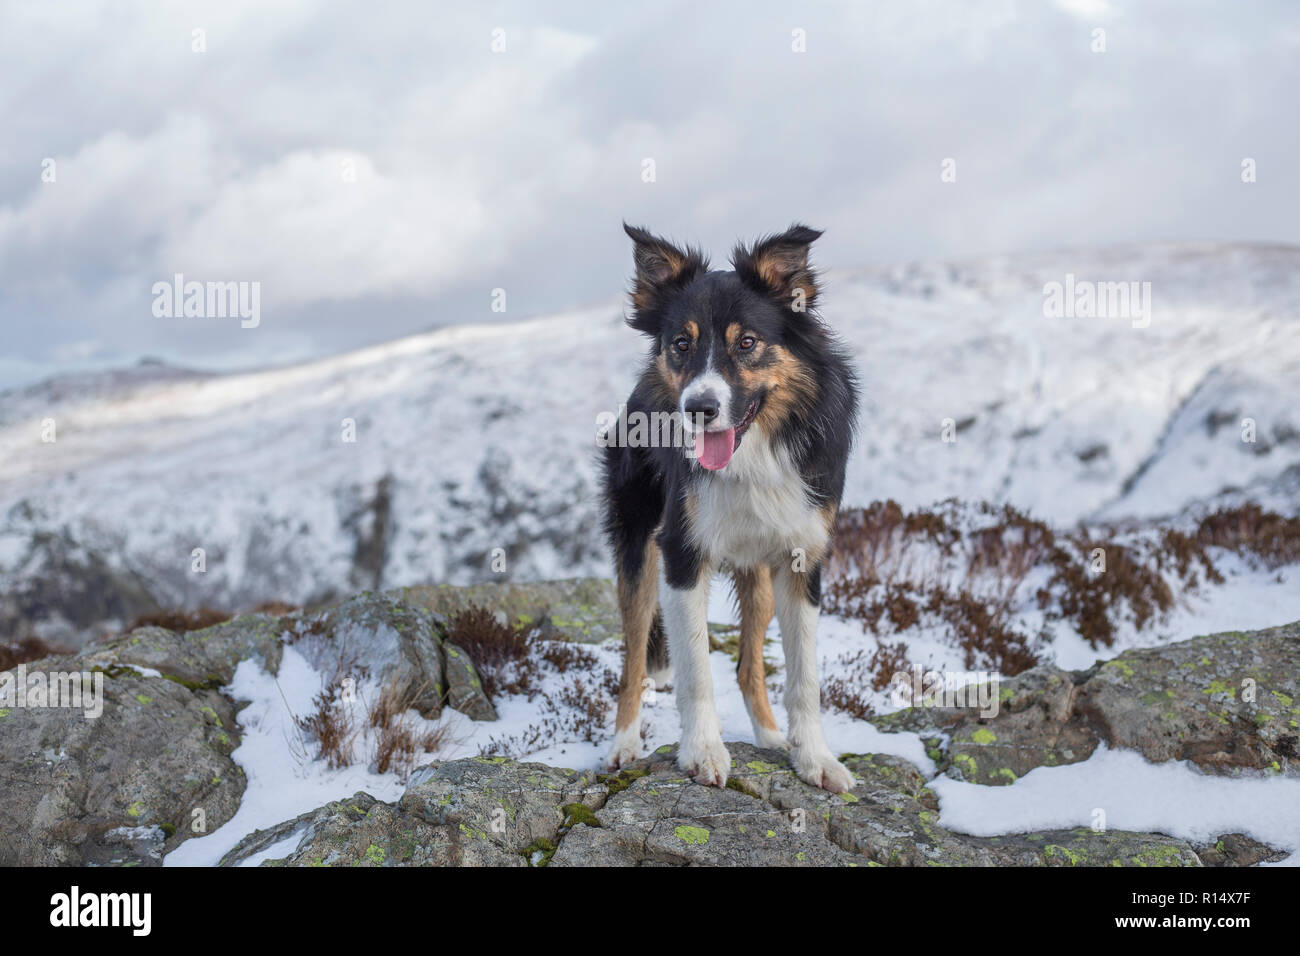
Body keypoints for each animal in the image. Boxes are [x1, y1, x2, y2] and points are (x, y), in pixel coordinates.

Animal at [600, 223, 863, 790]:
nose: (699, 409)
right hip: (637, 547)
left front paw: (813, 758)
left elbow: (803, 677)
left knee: (748, 667)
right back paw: (623, 744)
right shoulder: (681, 553)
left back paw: (769, 737)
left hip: (758, 575)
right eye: (681, 344)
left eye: (747, 342)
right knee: (633, 659)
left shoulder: (803, 557)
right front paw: (702, 751)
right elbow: (696, 670)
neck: (753, 453)